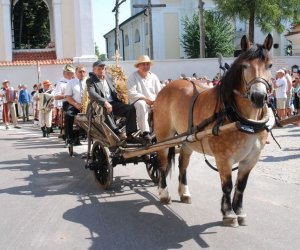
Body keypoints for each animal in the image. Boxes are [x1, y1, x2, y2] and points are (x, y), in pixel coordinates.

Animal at [154, 34, 274, 228]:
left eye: (269, 65)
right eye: (245, 66)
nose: (259, 96)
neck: (240, 119)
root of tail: (166, 87)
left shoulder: (251, 158)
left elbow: (241, 186)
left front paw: (239, 211)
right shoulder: (223, 158)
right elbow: (227, 185)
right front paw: (229, 213)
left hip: (188, 140)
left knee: (183, 165)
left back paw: (184, 192)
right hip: (164, 137)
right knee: (162, 164)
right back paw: (164, 194)